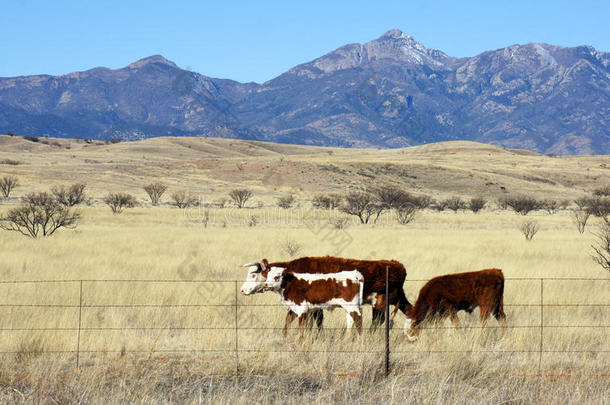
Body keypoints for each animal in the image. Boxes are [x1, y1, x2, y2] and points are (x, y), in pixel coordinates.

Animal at [239, 256, 408, 334]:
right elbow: (292, 320)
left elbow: (313, 322)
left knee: (377, 321)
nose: (242, 290)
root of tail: (397, 265)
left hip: (379, 301)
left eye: (253, 275)